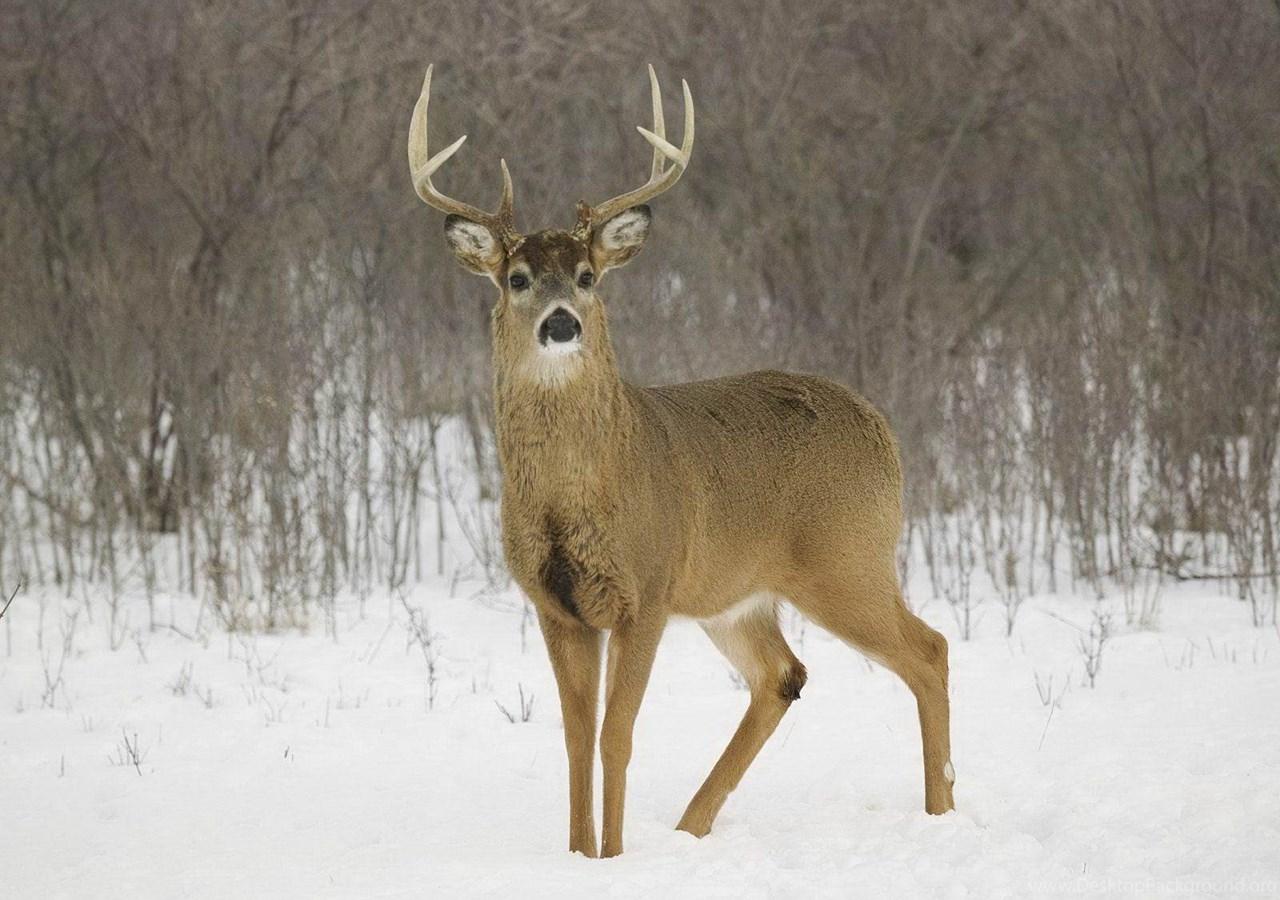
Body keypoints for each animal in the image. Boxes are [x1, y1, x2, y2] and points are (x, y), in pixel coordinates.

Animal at [407, 64, 955, 858]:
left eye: (586, 275)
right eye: (517, 278)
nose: (561, 323)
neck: (577, 495)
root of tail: (882, 428)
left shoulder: (648, 589)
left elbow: (617, 737)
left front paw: (612, 857)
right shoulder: (556, 605)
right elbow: (575, 740)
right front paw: (579, 855)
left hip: (847, 559)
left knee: (929, 650)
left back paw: (942, 813)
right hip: (738, 594)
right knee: (783, 674)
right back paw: (692, 828)